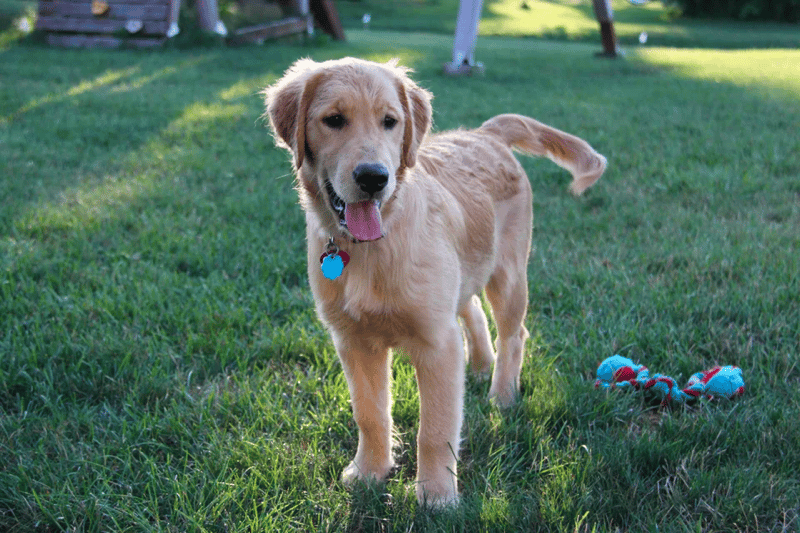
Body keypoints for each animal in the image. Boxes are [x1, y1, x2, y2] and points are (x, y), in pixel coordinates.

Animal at [264, 58, 608, 508]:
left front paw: (436, 496)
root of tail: (485, 133)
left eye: (390, 122)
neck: (374, 245)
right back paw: (480, 366)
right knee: (474, 313)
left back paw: (502, 395)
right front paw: (370, 472)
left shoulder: (436, 342)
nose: (374, 178)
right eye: (333, 120)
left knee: (514, 333)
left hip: (507, 273)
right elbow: (370, 414)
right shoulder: (353, 340)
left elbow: (436, 428)